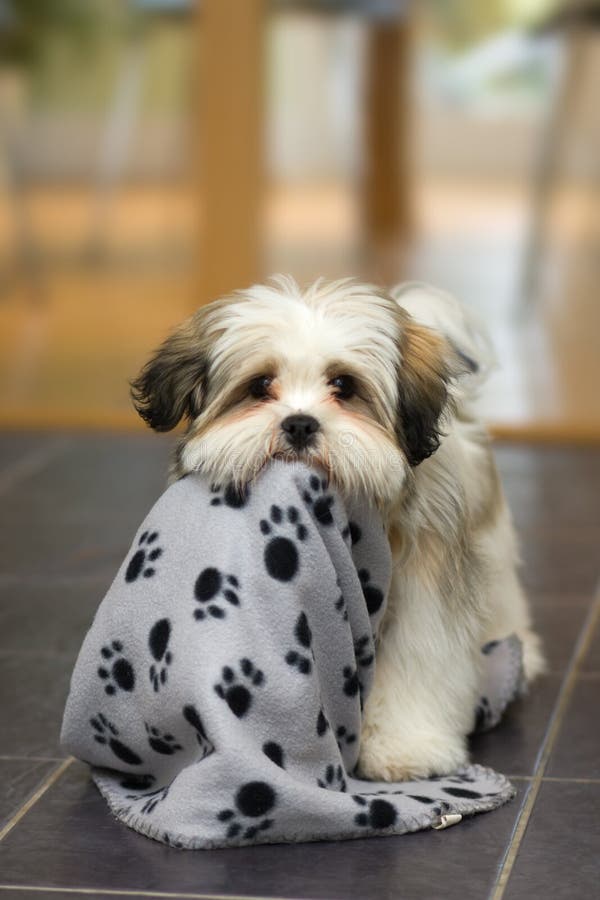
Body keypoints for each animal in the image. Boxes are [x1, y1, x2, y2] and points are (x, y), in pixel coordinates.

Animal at [131, 274, 544, 780]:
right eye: (260, 385)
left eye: (344, 385)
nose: (299, 424)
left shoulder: (426, 588)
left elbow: (418, 663)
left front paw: (405, 746)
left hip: (491, 540)